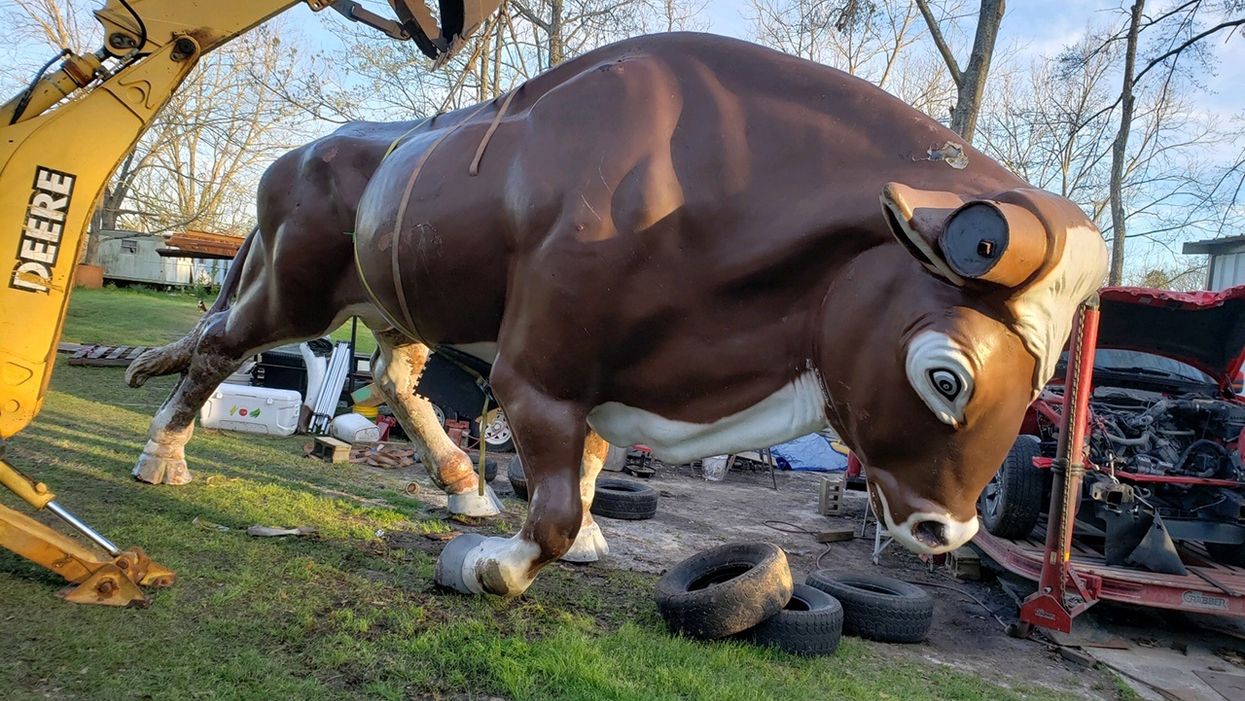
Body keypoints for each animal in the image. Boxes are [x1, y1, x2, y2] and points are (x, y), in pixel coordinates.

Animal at [351, 30, 1110, 595]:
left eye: (1044, 384)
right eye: (946, 378)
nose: (945, 533)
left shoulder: (602, 379)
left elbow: (588, 468)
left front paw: (584, 537)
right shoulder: (539, 377)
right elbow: (557, 509)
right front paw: (487, 566)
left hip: (392, 316)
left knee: (392, 376)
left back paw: (460, 485)